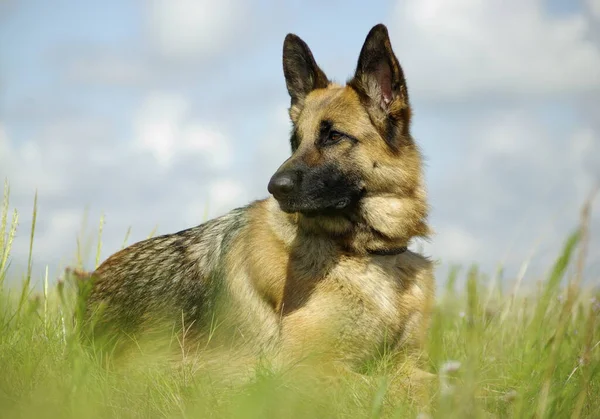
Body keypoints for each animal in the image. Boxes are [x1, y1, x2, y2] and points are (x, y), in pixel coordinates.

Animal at [81, 25, 436, 394]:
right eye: (295, 141)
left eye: (334, 136)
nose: (274, 187)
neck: (366, 252)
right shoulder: (308, 368)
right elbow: (392, 389)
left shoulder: (408, 362)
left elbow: (437, 381)